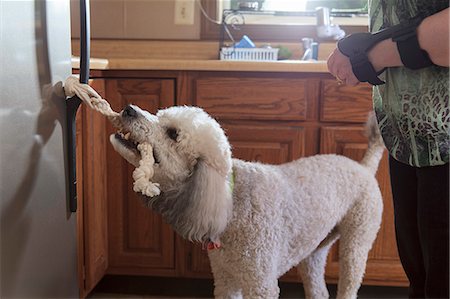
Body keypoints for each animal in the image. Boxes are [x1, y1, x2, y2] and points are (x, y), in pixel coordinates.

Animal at [108, 105, 384, 299]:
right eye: (159, 115)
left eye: (173, 133)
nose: (129, 108)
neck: (229, 201)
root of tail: (364, 167)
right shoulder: (225, 279)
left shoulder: (260, 284)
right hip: (314, 251)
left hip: (356, 245)